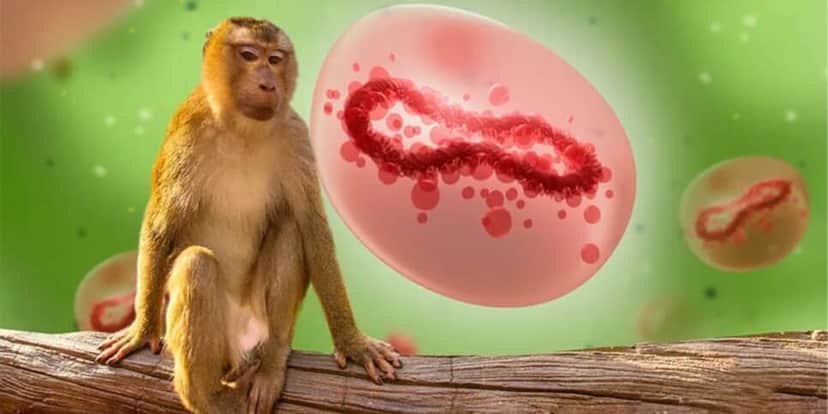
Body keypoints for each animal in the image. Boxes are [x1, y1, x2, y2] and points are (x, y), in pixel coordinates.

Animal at [94, 17, 401, 414]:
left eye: (275, 59)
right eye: (249, 55)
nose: (268, 82)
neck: (242, 130)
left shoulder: (296, 136)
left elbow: (311, 228)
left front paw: (352, 342)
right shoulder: (187, 131)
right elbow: (161, 228)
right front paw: (142, 331)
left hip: (258, 325)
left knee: (290, 230)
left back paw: (270, 366)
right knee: (196, 264)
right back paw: (208, 397)